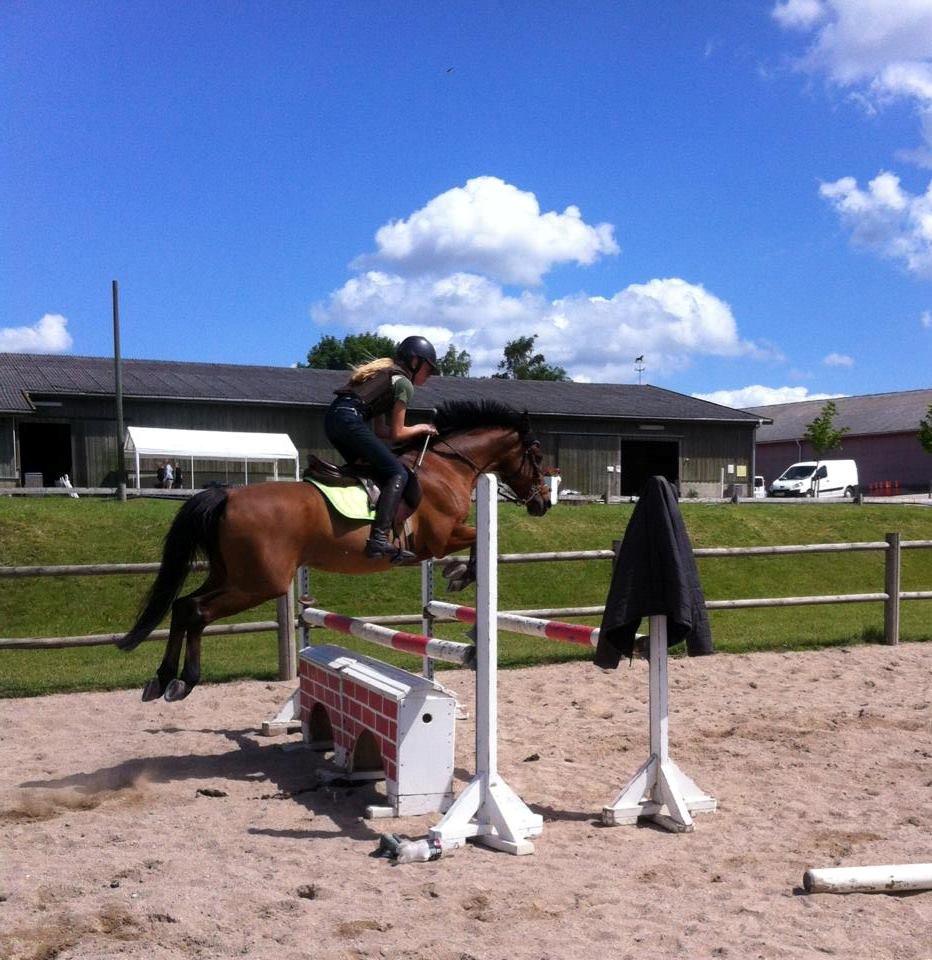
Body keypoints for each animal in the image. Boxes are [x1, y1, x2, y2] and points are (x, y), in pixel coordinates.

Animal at [118, 399, 552, 702]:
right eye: (537, 455)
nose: (543, 504)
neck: (447, 468)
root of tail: (227, 494)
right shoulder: (440, 538)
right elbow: (480, 541)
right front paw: (461, 576)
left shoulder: (437, 542)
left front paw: (457, 575)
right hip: (259, 583)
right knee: (196, 611)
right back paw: (183, 681)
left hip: (231, 575)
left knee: (181, 606)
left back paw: (161, 679)